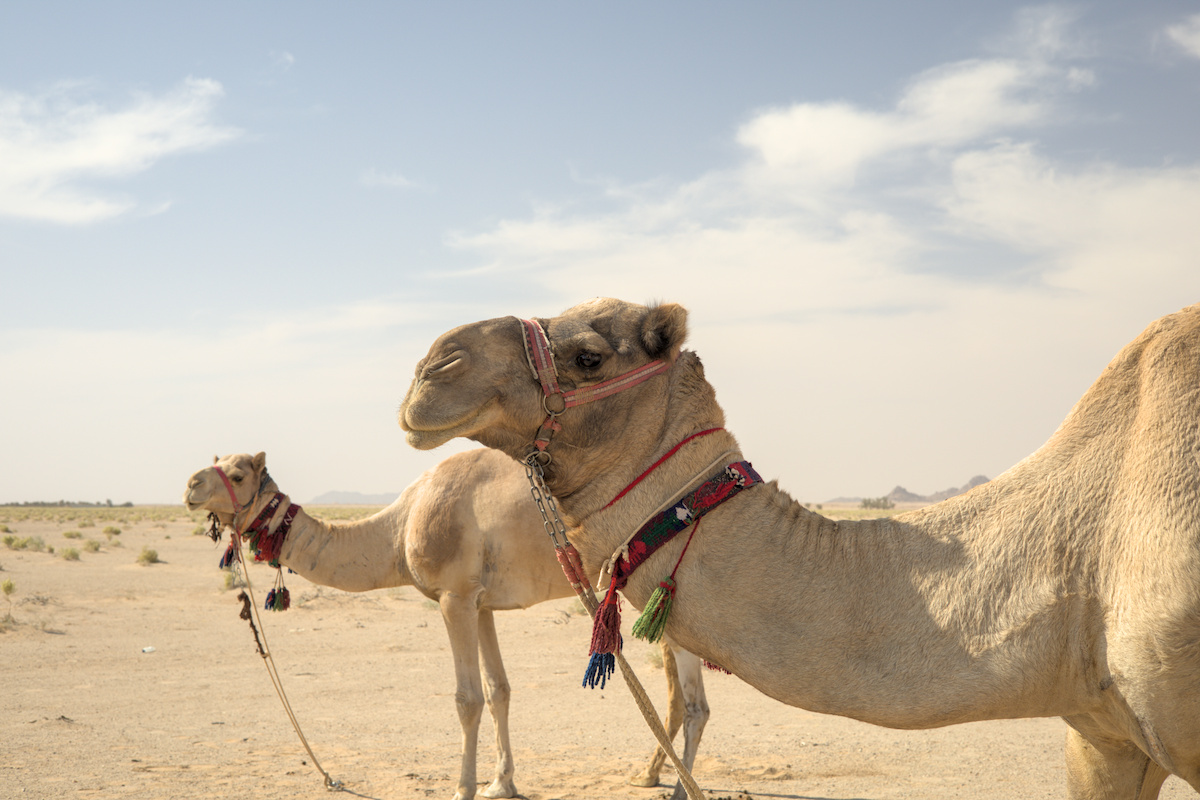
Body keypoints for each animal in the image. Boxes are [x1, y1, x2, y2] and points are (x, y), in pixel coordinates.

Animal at [183, 447, 710, 800]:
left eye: (236, 473)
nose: (190, 485)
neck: (399, 529)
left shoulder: (453, 597)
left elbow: (467, 698)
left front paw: (464, 788)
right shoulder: (481, 603)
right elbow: (499, 690)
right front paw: (501, 782)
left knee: (692, 702)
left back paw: (678, 788)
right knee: (688, 702)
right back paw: (661, 779)